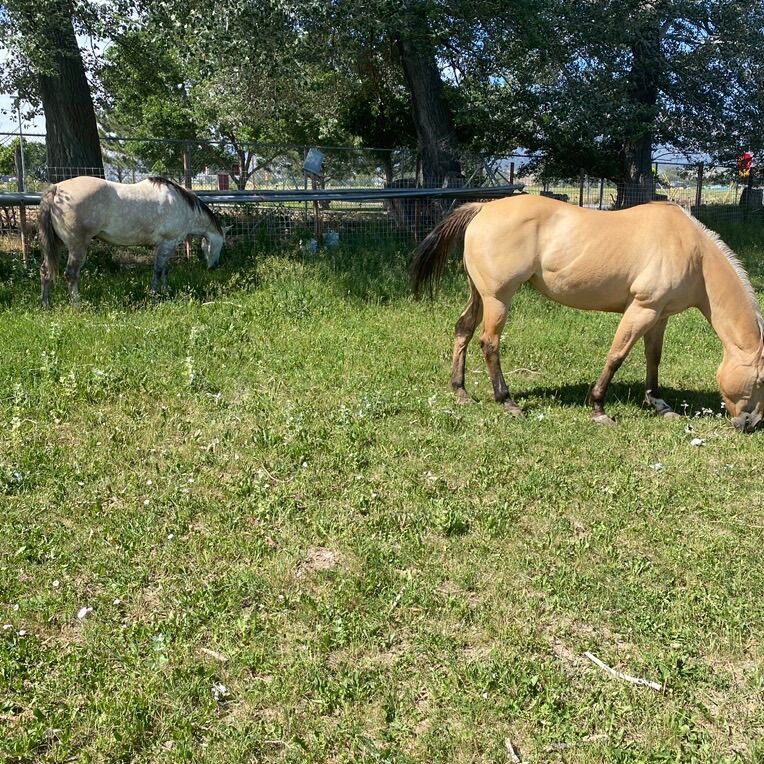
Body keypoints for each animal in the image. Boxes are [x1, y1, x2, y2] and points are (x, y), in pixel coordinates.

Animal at [37, 176, 227, 307]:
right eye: (220, 245)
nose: (215, 266)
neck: (181, 205)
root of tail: (56, 189)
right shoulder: (168, 243)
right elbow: (158, 270)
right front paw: (154, 295)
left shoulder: (164, 246)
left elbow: (164, 270)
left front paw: (166, 292)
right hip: (78, 246)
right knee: (71, 274)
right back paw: (77, 305)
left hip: (58, 244)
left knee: (45, 271)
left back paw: (46, 304)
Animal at [411, 194, 764, 433]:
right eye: (760, 379)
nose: (751, 423)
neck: (694, 254)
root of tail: (483, 207)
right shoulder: (642, 309)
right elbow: (617, 356)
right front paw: (598, 408)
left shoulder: (659, 315)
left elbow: (653, 358)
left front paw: (660, 404)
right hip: (498, 298)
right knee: (489, 343)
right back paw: (507, 401)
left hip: (479, 295)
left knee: (463, 330)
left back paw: (461, 392)